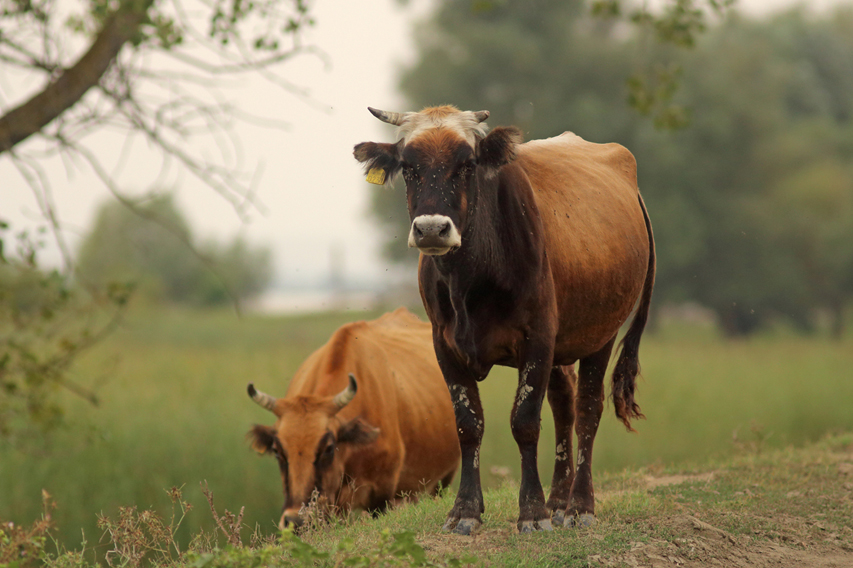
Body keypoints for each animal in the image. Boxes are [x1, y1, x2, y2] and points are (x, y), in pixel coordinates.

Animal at [352, 104, 652, 536]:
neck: (471, 279)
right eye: (408, 168)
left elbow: (524, 421)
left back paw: (579, 505)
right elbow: (468, 423)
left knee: (587, 412)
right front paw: (465, 510)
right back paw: (558, 501)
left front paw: (531, 511)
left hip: (602, 334)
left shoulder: (537, 339)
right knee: (564, 406)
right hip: (562, 348)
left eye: (467, 165)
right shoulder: (444, 345)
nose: (431, 229)